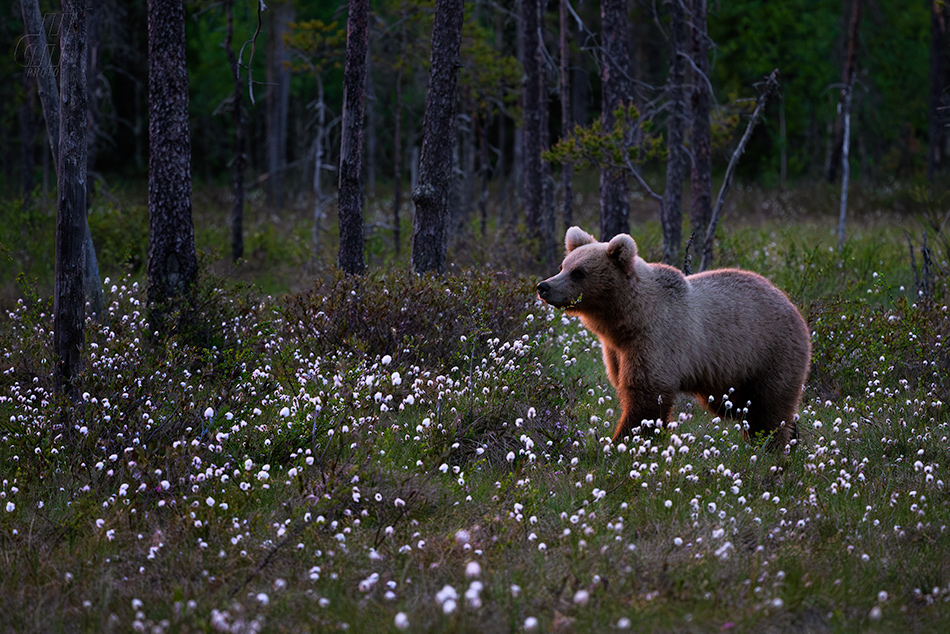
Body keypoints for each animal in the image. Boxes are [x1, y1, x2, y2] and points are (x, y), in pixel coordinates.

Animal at [540, 225, 816, 446]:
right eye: (562, 266)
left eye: (578, 272)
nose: (544, 286)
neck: (627, 319)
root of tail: (792, 305)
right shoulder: (618, 351)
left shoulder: (657, 340)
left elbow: (646, 396)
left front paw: (621, 441)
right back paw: (793, 436)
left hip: (770, 353)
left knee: (768, 409)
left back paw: (772, 445)